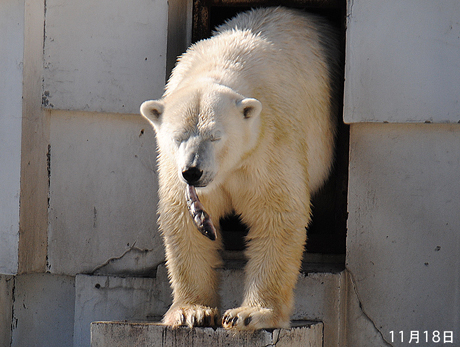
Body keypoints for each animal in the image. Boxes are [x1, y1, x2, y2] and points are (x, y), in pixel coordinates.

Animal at [140, 6, 342, 330]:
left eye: (215, 136)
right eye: (178, 136)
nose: (193, 171)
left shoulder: (269, 143)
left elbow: (277, 213)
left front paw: (250, 314)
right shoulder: (174, 167)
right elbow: (185, 218)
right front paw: (192, 311)